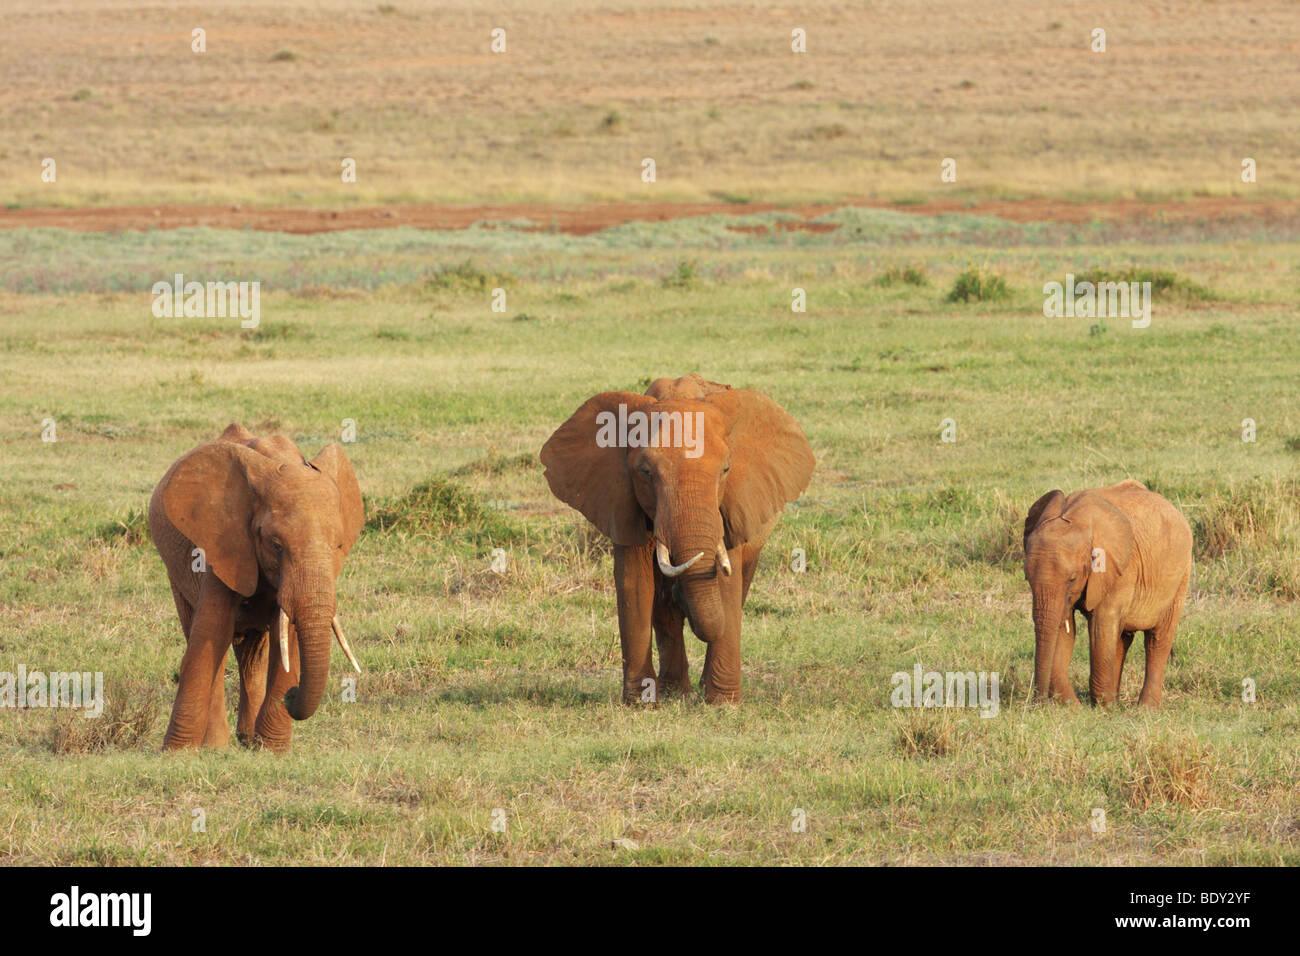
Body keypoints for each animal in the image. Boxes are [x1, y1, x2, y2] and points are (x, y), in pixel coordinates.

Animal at [148, 423, 364, 752]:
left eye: (338, 545)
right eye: (276, 545)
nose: (291, 696)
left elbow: (286, 635)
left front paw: (271, 751)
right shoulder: (222, 542)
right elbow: (211, 631)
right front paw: (177, 752)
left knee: (251, 654)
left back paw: (247, 739)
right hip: (176, 572)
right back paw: (217, 744)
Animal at [540, 374, 815, 704]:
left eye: (726, 469)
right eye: (645, 472)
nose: (681, 592)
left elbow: (726, 583)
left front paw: (723, 704)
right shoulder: (621, 500)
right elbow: (635, 583)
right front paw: (641, 704)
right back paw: (675, 692)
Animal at [1023, 479, 1192, 708]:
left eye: (1072, 579)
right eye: (1027, 579)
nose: (1039, 704)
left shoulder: (1121, 569)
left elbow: (1100, 626)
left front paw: (1102, 708)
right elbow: (1066, 627)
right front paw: (1073, 707)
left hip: (1181, 573)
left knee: (1158, 638)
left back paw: (1145, 709)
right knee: (1122, 638)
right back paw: (1117, 701)